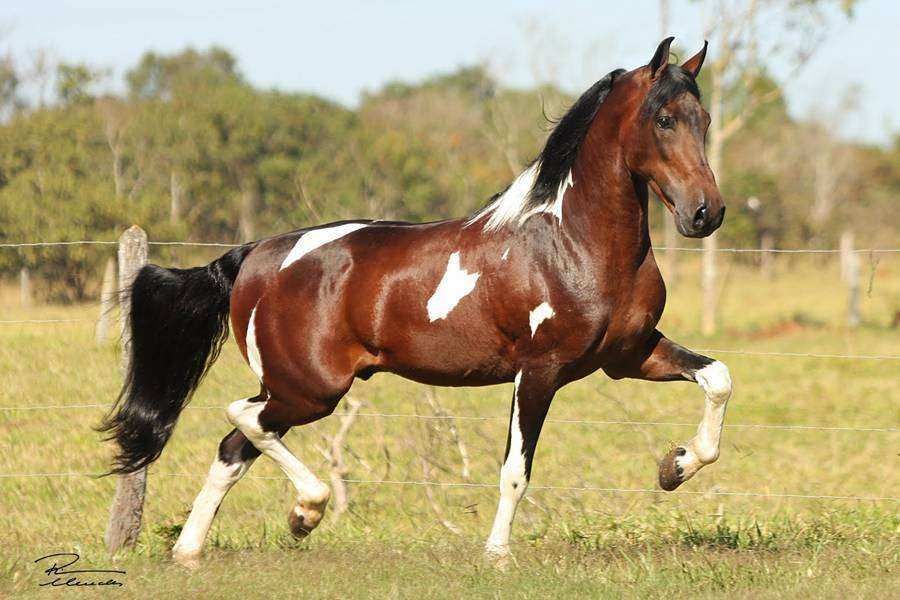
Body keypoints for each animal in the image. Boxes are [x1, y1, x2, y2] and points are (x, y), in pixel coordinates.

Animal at [101, 37, 732, 567]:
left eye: (703, 120)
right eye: (664, 118)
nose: (706, 213)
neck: (574, 243)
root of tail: (254, 255)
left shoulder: (628, 356)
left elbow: (718, 378)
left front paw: (675, 467)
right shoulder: (540, 371)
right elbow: (515, 471)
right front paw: (496, 556)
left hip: (295, 387)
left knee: (234, 445)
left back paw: (192, 551)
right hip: (310, 388)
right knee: (243, 419)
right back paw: (305, 511)